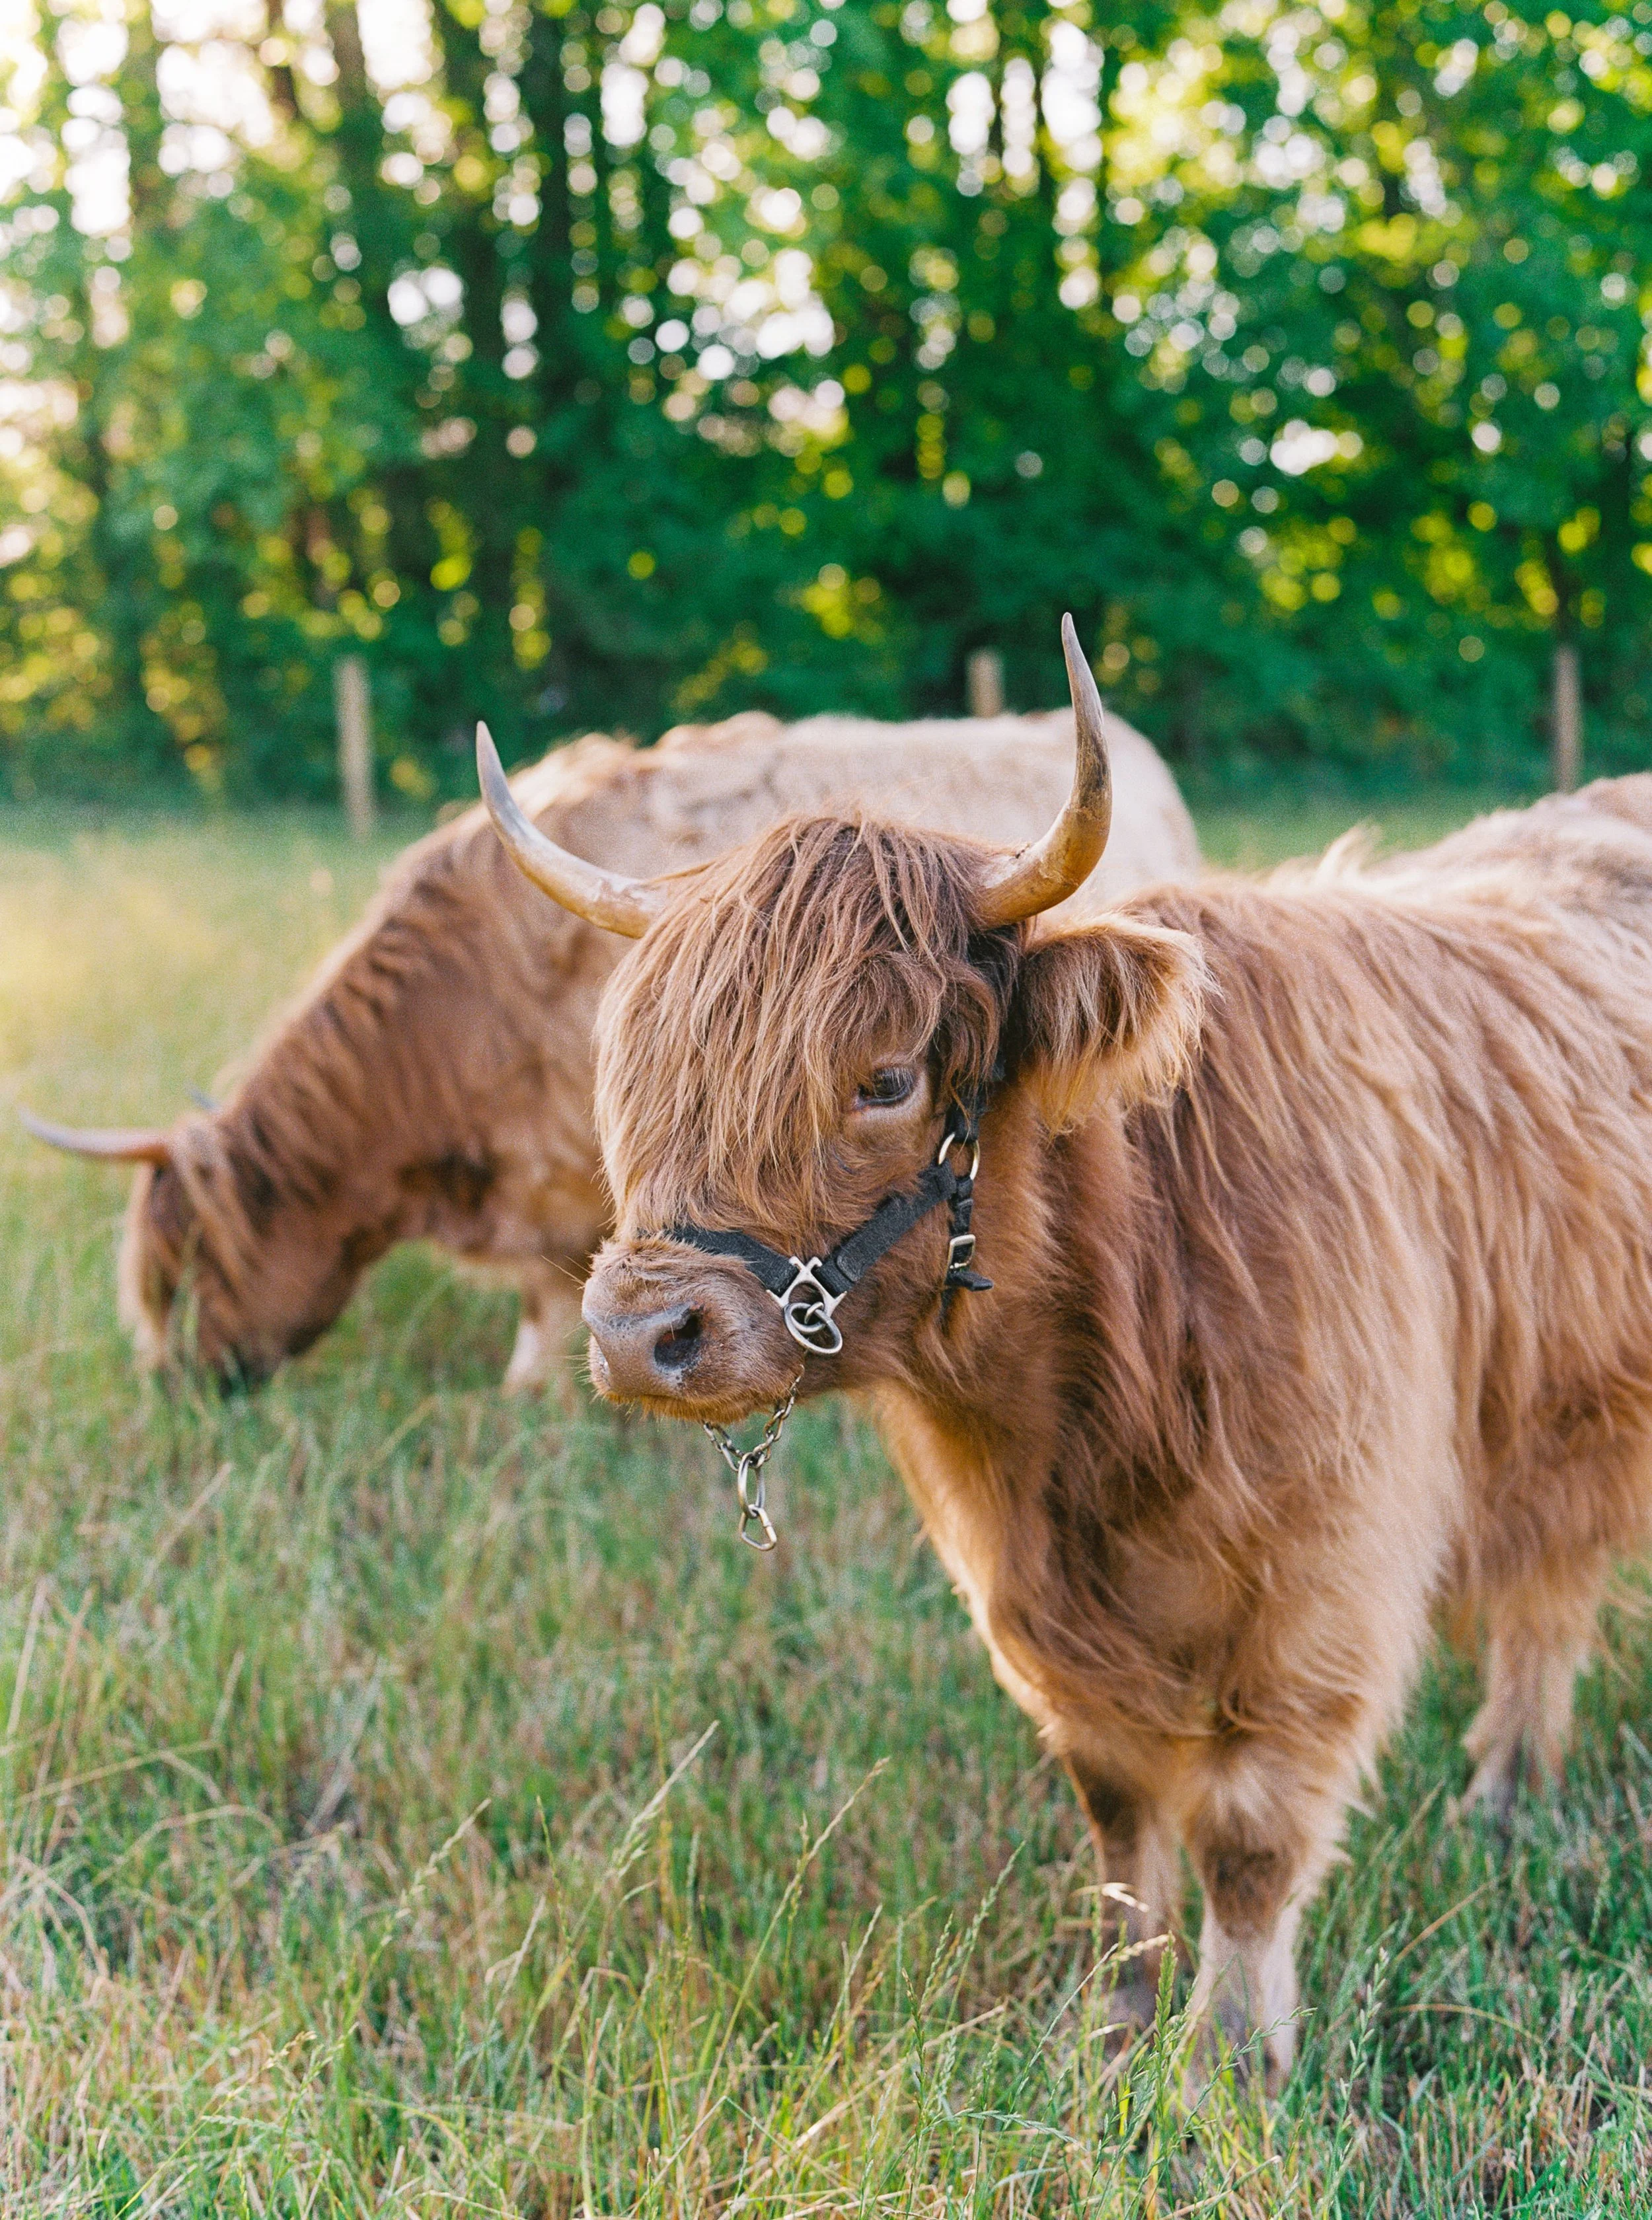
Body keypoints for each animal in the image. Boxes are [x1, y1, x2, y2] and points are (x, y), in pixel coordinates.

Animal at [477, 614, 1652, 2085]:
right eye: (632, 1074)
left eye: (885, 1077)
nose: (641, 1334)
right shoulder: (1030, 1603)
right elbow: (1113, 1806)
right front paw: (1114, 2017)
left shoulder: (1324, 1575)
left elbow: (1248, 1833)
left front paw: (1229, 2061)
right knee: (1550, 1589)